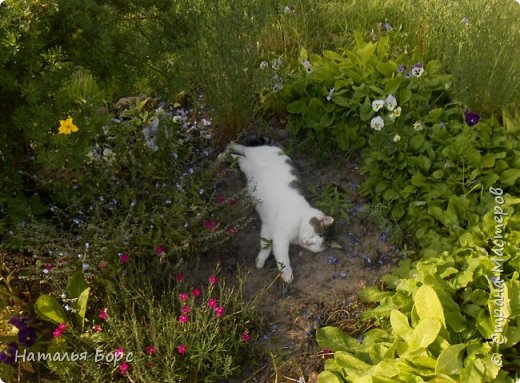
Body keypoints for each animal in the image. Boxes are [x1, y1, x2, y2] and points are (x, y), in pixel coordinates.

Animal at [223, 142, 334, 284]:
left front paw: (260, 260)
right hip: (254, 155)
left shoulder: (268, 228)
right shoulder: (281, 237)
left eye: (316, 245)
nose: (306, 242)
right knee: (242, 148)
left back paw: (225, 154)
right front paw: (287, 274)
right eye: (313, 234)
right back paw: (226, 150)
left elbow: (265, 245)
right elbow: (282, 257)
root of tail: (276, 148)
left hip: (246, 166)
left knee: (238, 158)